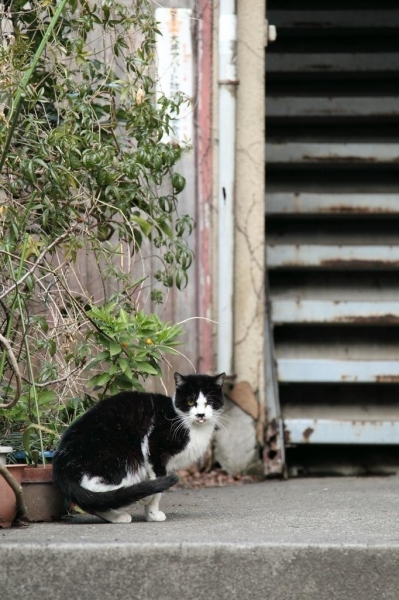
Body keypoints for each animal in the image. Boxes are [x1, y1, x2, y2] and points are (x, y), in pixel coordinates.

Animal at [52, 372, 225, 524]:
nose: (201, 415)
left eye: (209, 402)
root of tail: (61, 460)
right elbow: (158, 487)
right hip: (121, 458)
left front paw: (150, 514)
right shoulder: (154, 448)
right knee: (98, 492)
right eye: (190, 402)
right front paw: (153, 511)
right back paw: (131, 503)